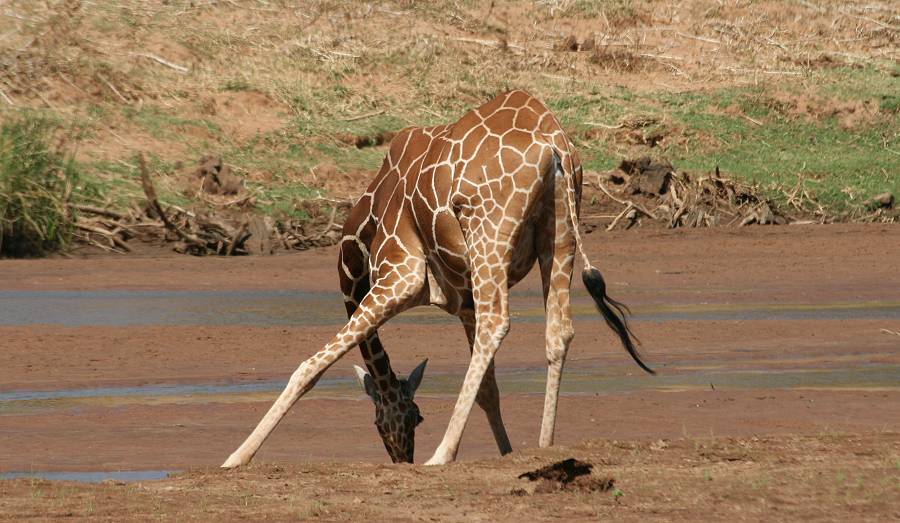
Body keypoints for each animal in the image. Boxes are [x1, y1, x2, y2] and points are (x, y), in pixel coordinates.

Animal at [221, 90, 652, 470]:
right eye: (393, 420)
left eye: (415, 417)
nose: (402, 459)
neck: (362, 231)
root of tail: (554, 143)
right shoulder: (463, 301)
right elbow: (489, 388)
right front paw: (507, 452)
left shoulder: (401, 275)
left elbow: (310, 366)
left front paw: (235, 458)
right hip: (560, 230)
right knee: (558, 330)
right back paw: (545, 446)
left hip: (488, 231)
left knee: (499, 322)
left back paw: (442, 454)